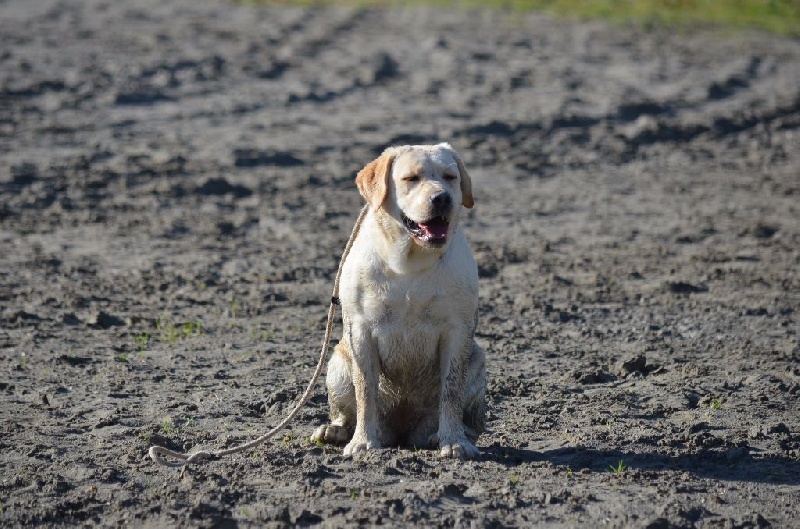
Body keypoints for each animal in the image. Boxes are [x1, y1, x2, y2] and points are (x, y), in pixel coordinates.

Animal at [310, 142, 488, 456]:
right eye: (411, 178)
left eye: (450, 177)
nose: (442, 198)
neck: (409, 262)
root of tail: (403, 432)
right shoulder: (360, 330)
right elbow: (365, 390)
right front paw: (363, 441)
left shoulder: (457, 330)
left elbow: (451, 391)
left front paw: (454, 441)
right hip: (337, 364)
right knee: (346, 409)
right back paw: (334, 430)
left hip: (478, 361)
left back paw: (448, 434)